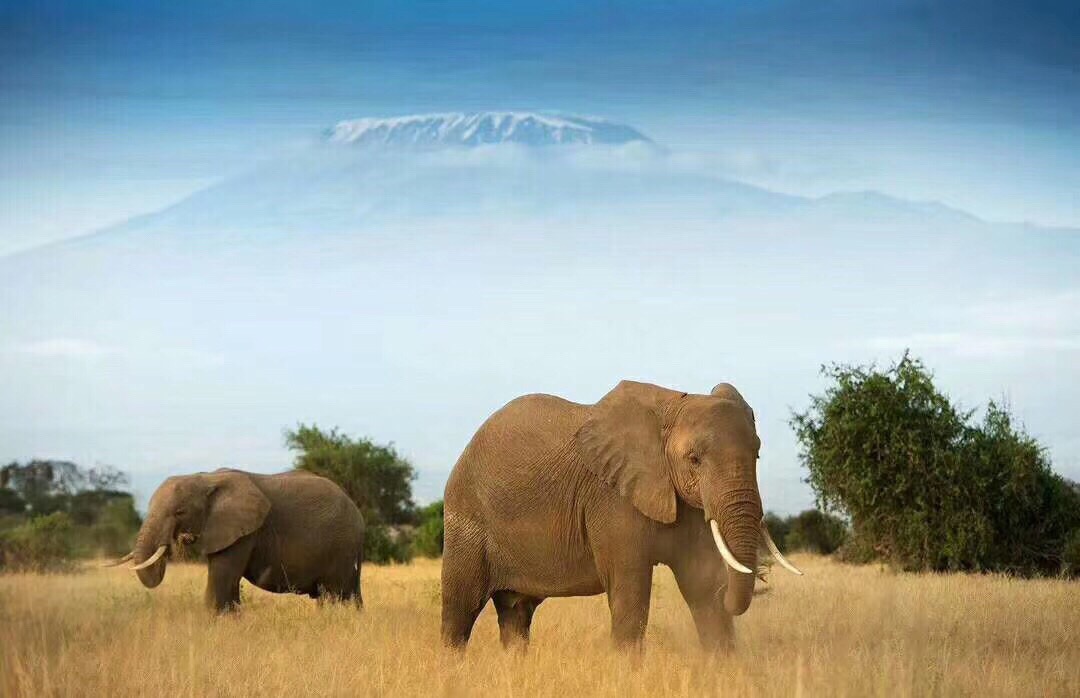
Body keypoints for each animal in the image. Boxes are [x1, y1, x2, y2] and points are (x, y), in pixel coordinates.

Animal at [107, 471, 365, 613]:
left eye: (180, 512)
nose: (180, 538)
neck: (206, 478)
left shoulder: (244, 533)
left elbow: (221, 582)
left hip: (341, 546)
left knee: (335, 594)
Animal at [438, 382, 803, 652]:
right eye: (694, 459)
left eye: (757, 454)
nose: (761, 579)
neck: (670, 406)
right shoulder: (612, 498)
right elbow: (630, 593)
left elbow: (700, 589)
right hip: (466, 520)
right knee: (460, 612)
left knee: (516, 616)